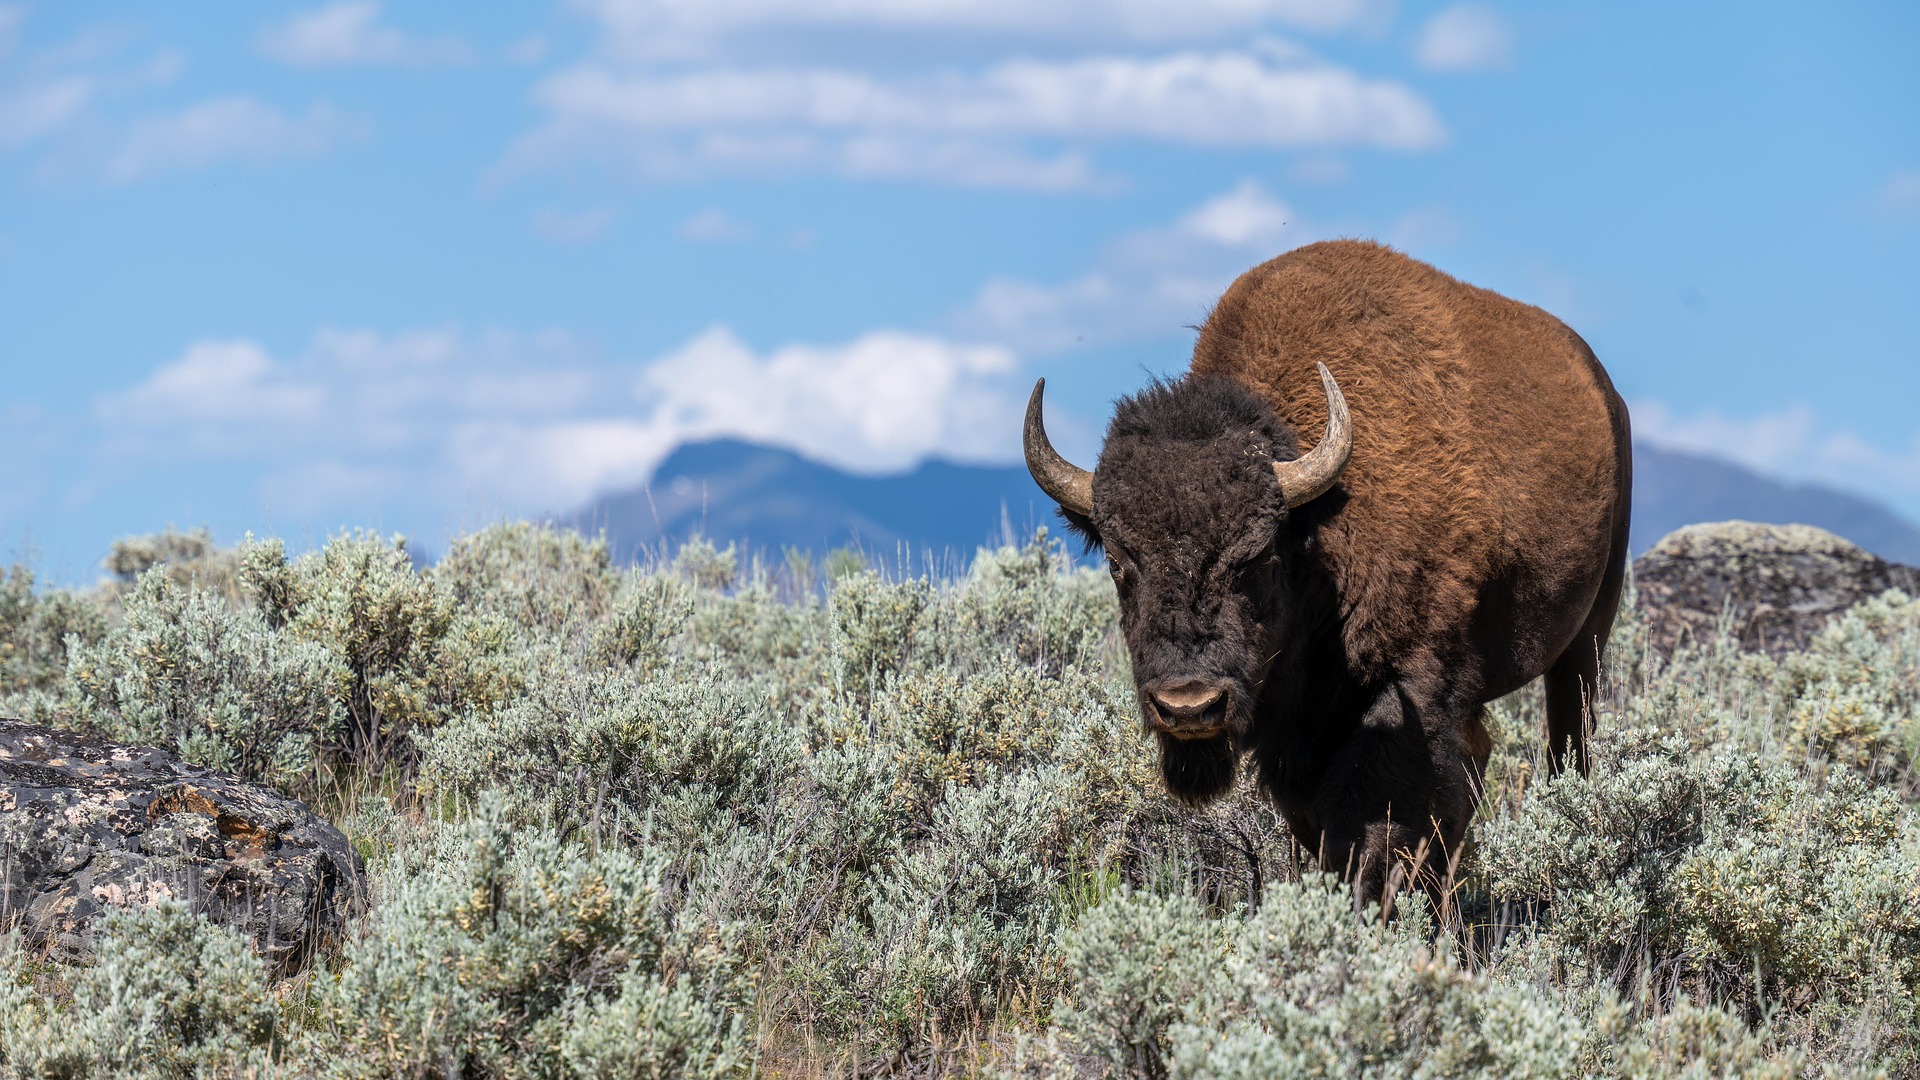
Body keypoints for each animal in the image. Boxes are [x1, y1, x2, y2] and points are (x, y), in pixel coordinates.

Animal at [1025, 240, 1632, 905]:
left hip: (1586, 639)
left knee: (1565, 740)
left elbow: (1374, 823)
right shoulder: (1292, 732)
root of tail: (1607, 394)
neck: (1318, 531)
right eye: (1117, 561)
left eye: (1258, 555)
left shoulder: (1404, 697)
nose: (1188, 706)